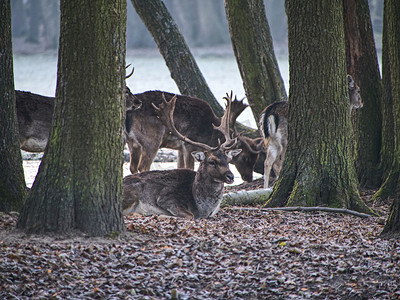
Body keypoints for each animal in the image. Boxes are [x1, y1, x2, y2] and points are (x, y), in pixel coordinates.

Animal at [124, 90, 262, 182]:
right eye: (244, 157)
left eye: (256, 158)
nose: (249, 178)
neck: (209, 134)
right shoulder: (188, 144)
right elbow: (190, 168)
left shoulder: (180, 148)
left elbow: (180, 167)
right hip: (151, 140)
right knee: (143, 166)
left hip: (132, 143)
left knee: (132, 166)